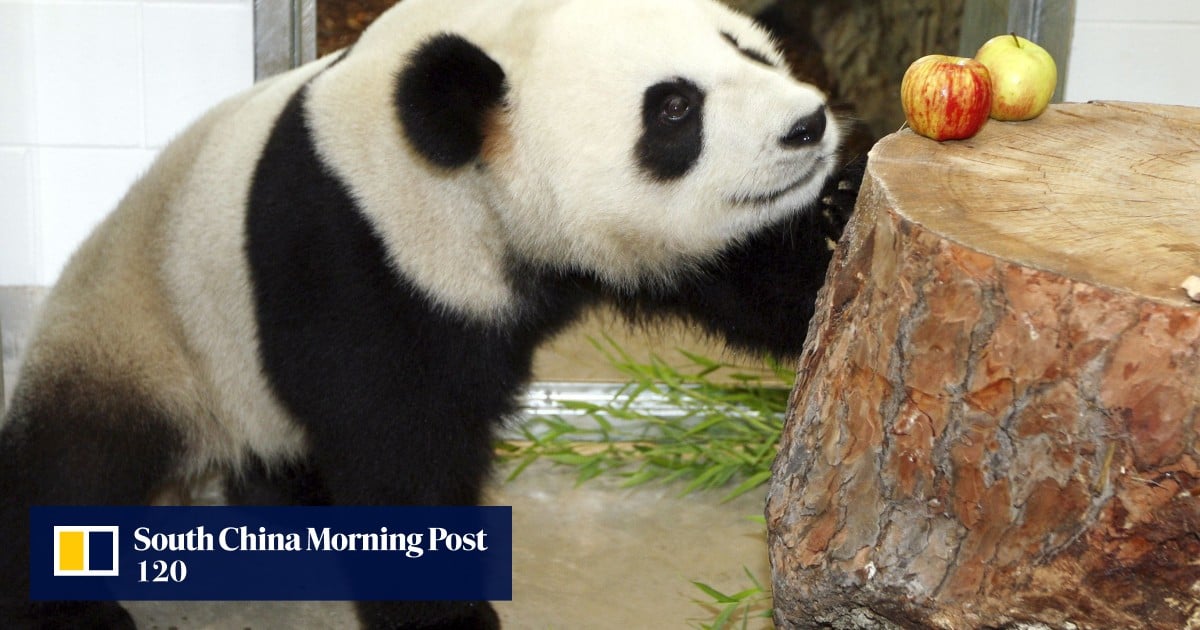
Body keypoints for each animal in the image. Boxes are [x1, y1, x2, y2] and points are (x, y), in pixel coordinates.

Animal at [0, 0, 861, 627]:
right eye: (675, 107)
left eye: (748, 50)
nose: (807, 125)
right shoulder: (352, 245)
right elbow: (393, 437)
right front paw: (447, 619)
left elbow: (773, 280)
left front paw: (840, 212)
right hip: (145, 333)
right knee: (76, 463)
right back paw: (70, 607)